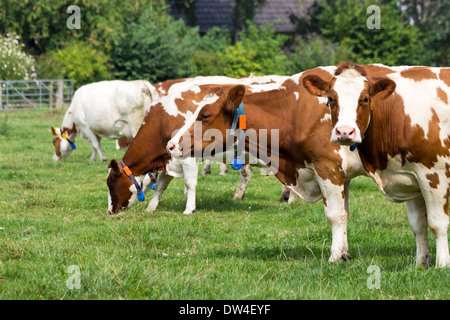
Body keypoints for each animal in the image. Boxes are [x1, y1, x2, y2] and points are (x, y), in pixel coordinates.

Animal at [106, 74, 292, 215]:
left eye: (111, 183)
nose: (110, 211)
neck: (162, 119)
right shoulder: (170, 158)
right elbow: (160, 185)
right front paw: (152, 207)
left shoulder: (186, 155)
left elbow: (189, 183)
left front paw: (189, 209)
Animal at [302, 62, 450, 268]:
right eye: (331, 99)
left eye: (365, 99)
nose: (344, 132)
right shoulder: (410, 178)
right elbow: (418, 225)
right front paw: (421, 262)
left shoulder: (434, 174)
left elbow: (437, 224)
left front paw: (442, 263)